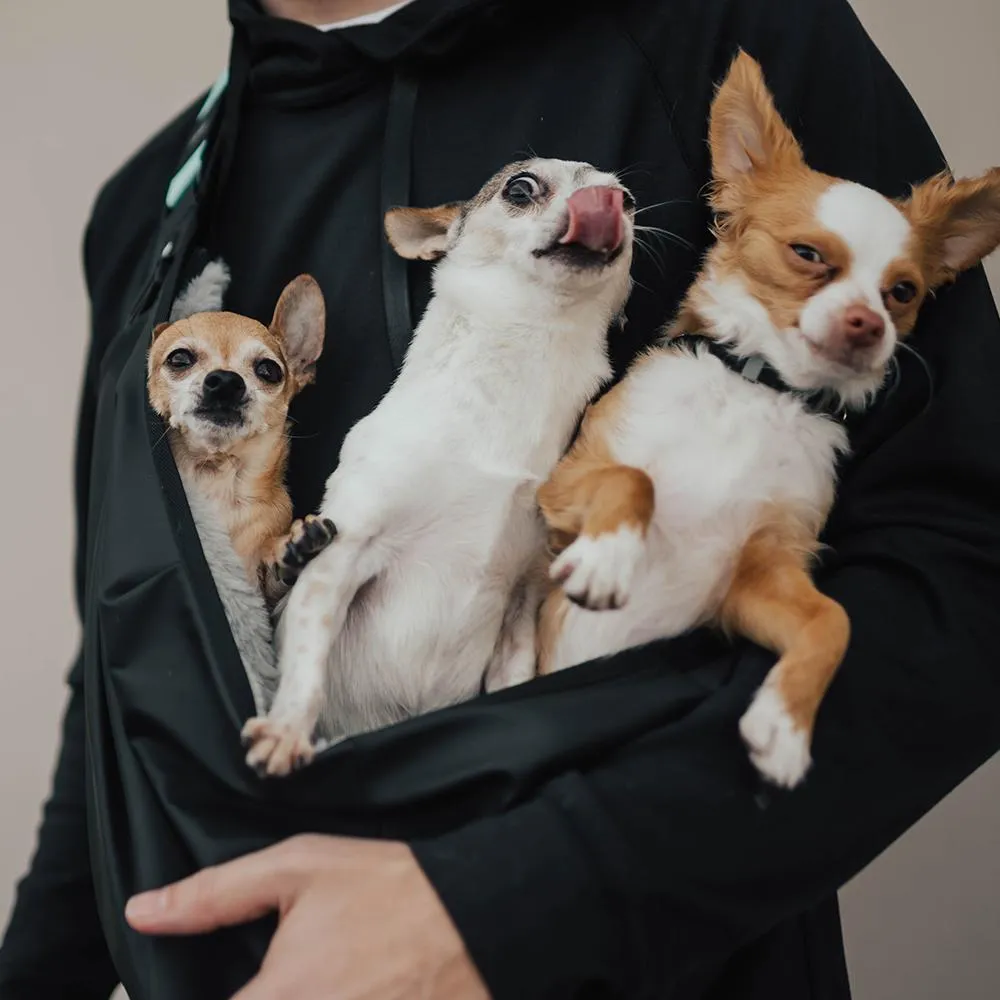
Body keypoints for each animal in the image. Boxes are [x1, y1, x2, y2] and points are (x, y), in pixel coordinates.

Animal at [242, 160, 632, 776]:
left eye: (632, 201)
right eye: (521, 187)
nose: (608, 203)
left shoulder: (522, 600)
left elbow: (514, 677)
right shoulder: (343, 556)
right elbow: (308, 659)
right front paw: (286, 731)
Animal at [544, 52, 1000, 788]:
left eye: (901, 293)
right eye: (808, 255)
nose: (868, 324)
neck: (763, 393)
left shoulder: (757, 574)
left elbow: (834, 620)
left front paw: (785, 726)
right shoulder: (565, 484)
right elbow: (634, 480)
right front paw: (609, 559)